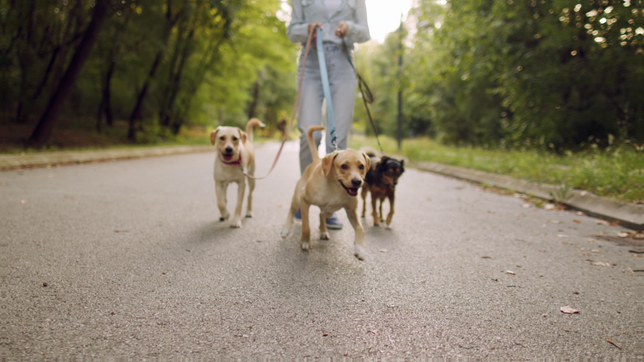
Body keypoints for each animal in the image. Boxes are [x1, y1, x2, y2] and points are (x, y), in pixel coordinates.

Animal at [282, 125, 372, 260]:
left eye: (361, 166)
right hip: (297, 200)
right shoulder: (304, 200)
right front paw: (305, 241)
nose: (357, 181)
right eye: (344, 166)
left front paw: (360, 249)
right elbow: (306, 226)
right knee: (292, 210)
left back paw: (323, 230)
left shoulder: (352, 211)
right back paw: (286, 229)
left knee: (322, 214)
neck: (336, 187)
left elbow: (360, 229)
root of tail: (317, 160)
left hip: (329, 210)